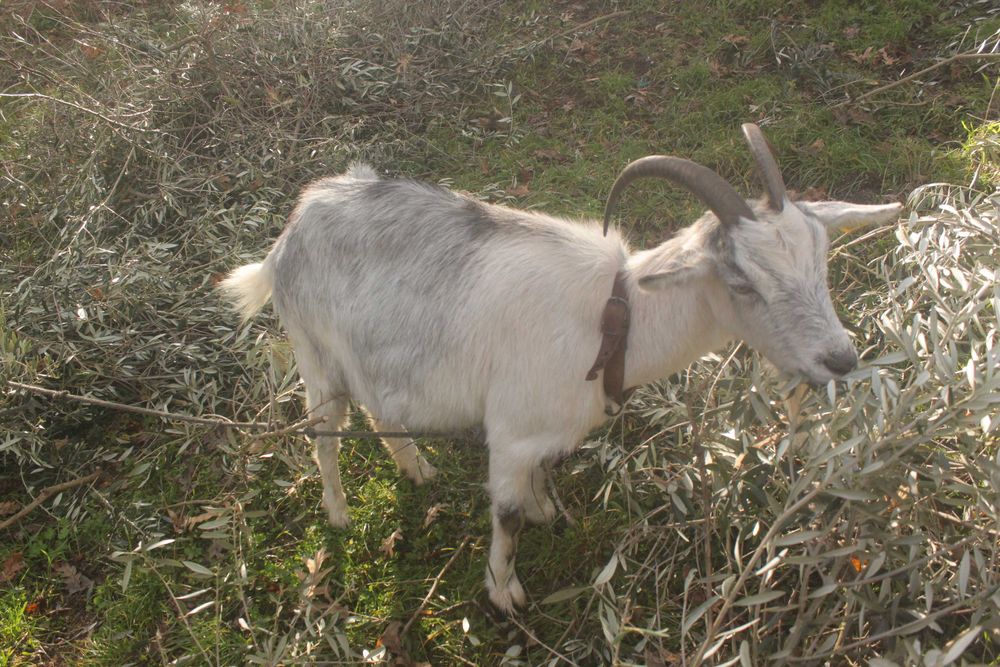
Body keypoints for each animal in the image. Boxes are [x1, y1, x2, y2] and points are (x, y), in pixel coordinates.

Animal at [220, 124, 901, 613]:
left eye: (822, 260)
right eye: (742, 283)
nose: (840, 359)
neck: (613, 320)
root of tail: (292, 230)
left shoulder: (542, 432)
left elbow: (542, 476)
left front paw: (549, 510)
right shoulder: (510, 431)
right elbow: (506, 514)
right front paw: (504, 592)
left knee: (378, 410)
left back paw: (418, 470)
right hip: (314, 354)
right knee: (325, 434)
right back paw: (337, 512)